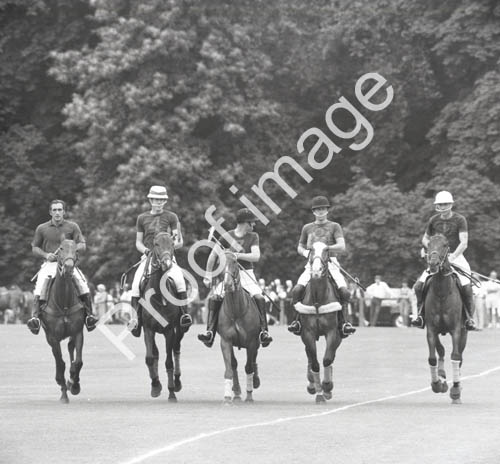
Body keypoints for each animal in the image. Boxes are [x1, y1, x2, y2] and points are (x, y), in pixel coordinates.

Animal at [38, 239, 85, 402]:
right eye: (61, 249)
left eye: (76, 250)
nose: (69, 267)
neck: (63, 302)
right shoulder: (53, 337)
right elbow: (60, 363)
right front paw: (64, 394)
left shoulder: (78, 331)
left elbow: (78, 361)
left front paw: (74, 384)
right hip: (48, 337)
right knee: (58, 358)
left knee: (71, 348)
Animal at [139, 232, 186, 402]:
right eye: (156, 244)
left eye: (172, 243)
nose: (167, 264)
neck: (158, 296)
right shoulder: (148, 329)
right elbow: (149, 358)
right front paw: (155, 386)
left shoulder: (169, 330)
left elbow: (169, 362)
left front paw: (171, 392)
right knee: (156, 353)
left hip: (180, 328)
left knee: (176, 349)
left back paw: (177, 383)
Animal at [217, 250, 260, 402]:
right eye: (219, 263)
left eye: (235, 262)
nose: (228, 285)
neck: (236, 311)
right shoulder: (225, 341)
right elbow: (229, 368)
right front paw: (228, 396)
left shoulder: (252, 341)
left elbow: (248, 367)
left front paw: (249, 395)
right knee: (235, 364)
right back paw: (236, 392)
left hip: (257, 342)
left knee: (253, 361)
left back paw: (255, 381)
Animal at [296, 243, 344, 402]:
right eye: (310, 250)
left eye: (327, 250)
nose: (316, 272)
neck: (318, 299)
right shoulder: (308, 333)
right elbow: (315, 363)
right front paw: (318, 392)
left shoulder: (332, 332)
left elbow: (327, 359)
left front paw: (327, 388)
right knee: (310, 357)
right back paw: (312, 383)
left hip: (339, 335)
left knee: (331, 355)